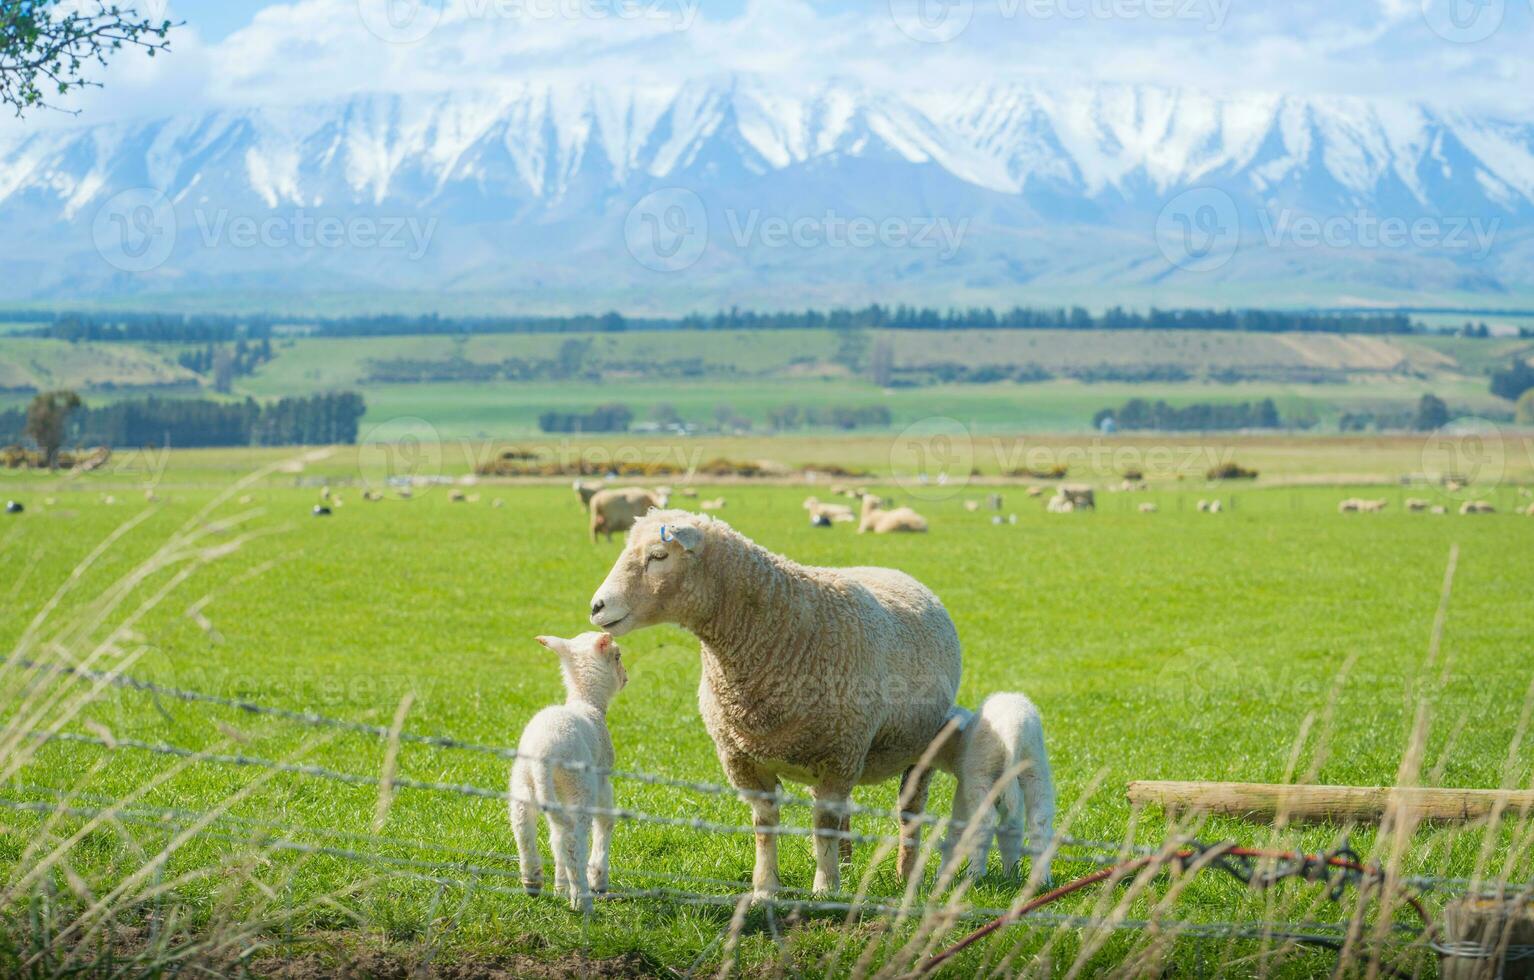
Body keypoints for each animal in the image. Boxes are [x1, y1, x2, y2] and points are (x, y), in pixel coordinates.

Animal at [503, 637, 622, 914]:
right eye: (618, 656)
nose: (626, 677)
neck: (587, 702)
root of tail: (544, 753)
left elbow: (554, 838)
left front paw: (559, 888)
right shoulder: (602, 780)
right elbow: (606, 822)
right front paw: (597, 880)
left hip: (525, 783)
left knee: (525, 827)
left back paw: (533, 880)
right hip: (579, 787)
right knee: (573, 841)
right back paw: (582, 899)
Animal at [585, 509, 957, 901]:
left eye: (658, 556)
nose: (596, 607)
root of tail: (892, 570)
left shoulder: (839, 752)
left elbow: (823, 823)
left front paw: (825, 890)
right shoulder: (744, 758)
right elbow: (765, 823)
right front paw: (765, 889)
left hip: (919, 745)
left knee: (909, 809)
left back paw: (906, 873)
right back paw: (846, 862)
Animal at [920, 693, 1055, 883]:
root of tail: (1013, 729)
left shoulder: (964, 787)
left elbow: (956, 830)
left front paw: (941, 876)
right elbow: (1011, 830)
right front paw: (1011, 875)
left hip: (980, 775)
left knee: (985, 822)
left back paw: (974, 875)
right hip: (1035, 770)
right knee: (1039, 820)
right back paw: (1042, 879)